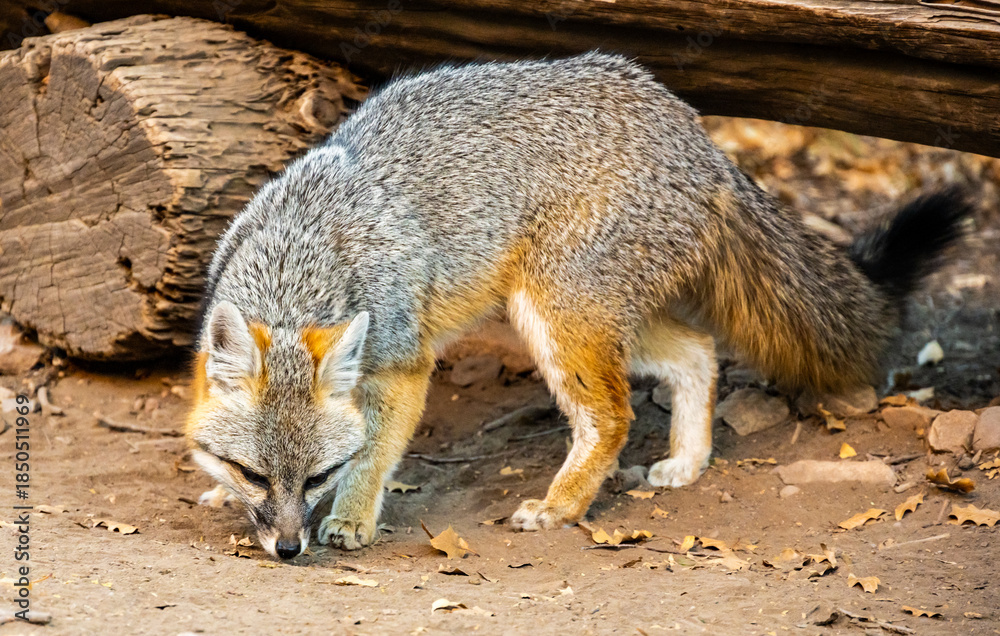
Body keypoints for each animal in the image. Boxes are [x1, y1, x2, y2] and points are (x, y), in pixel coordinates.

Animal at [186, 52, 972, 560]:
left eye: (316, 476)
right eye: (255, 473)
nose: (288, 548)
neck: (303, 250)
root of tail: (697, 135)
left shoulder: (404, 363)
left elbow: (375, 451)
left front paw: (351, 518)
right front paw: (222, 493)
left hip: (558, 319)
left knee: (613, 415)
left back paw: (561, 507)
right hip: (573, 314)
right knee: (697, 351)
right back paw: (687, 462)